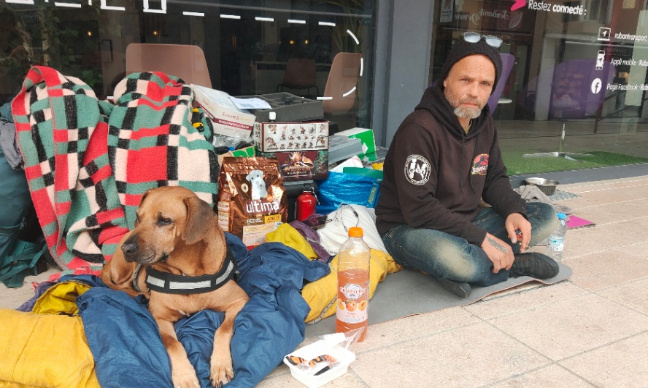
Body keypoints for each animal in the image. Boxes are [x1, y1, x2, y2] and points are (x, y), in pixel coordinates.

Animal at [100, 186, 248, 386]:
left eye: (164, 221)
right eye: (138, 217)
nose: (126, 248)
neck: (186, 275)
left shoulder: (239, 300)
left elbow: (223, 329)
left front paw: (220, 366)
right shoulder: (160, 317)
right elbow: (173, 344)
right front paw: (185, 377)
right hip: (124, 269)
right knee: (121, 284)